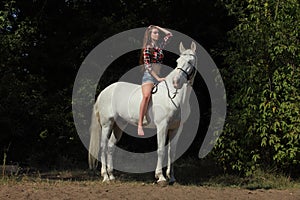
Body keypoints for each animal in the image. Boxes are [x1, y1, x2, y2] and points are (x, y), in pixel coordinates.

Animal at [88, 41, 198, 184]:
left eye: (190, 62)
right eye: (178, 61)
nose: (176, 82)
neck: (175, 98)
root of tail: (105, 91)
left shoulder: (176, 128)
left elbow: (172, 152)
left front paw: (172, 178)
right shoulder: (162, 126)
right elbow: (161, 150)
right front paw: (160, 177)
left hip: (119, 125)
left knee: (111, 147)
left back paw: (111, 175)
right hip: (107, 124)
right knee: (103, 146)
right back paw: (105, 176)